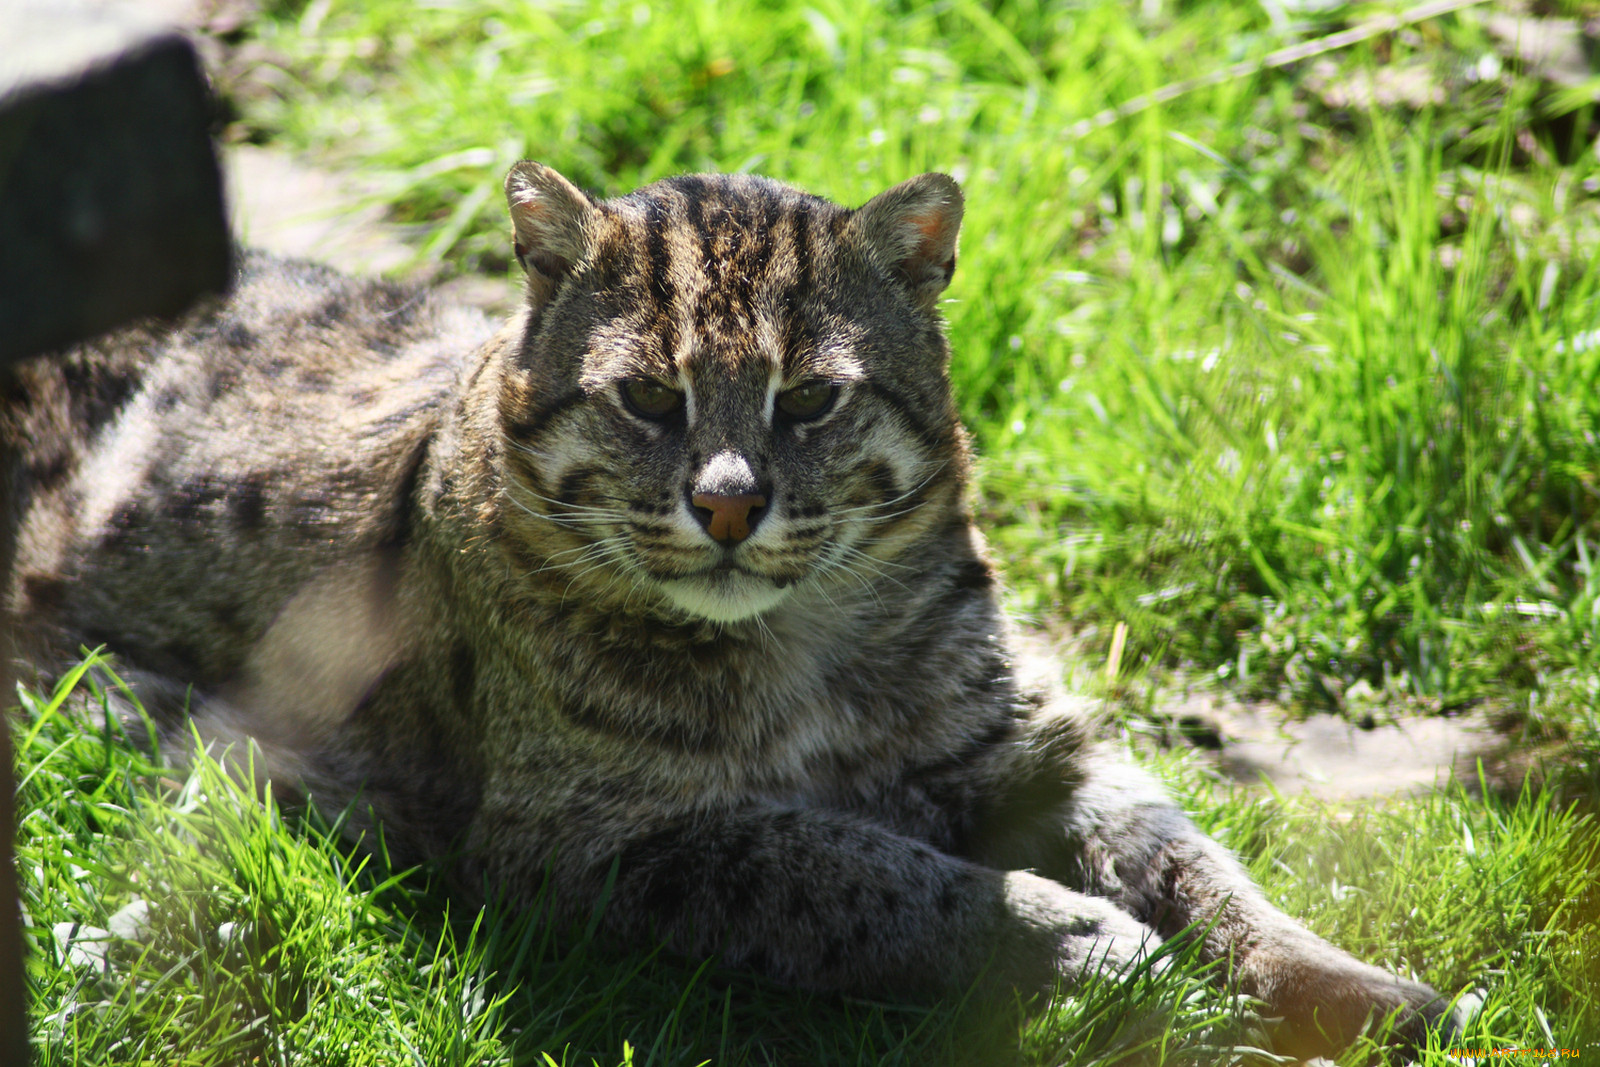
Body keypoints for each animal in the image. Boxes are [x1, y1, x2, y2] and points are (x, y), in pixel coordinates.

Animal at [6, 163, 1465, 1055]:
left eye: (808, 399)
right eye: (649, 398)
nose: (725, 505)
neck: (805, 633)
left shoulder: (1025, 741)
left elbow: (1195, 854)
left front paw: (1333, 979)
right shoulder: (589, 836)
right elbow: (869, 871)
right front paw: (1097, 945)